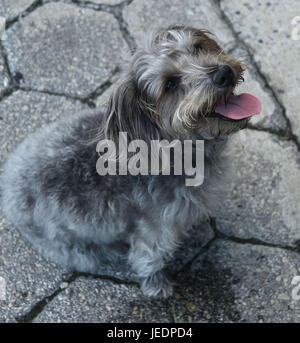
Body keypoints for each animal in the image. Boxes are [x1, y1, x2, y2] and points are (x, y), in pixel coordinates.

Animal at [0, 26, 260, 298]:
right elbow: (149, 257)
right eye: (170, 83)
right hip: (76, 251)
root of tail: (8, 187)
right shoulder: (154, 229)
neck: (177, 152)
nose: (224, 74)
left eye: (198, 48)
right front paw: (157, 286)